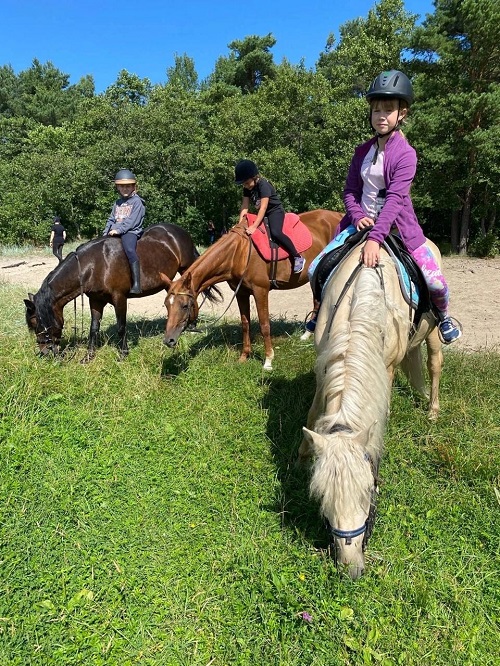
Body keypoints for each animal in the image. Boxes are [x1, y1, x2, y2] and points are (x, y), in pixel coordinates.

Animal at [23, 223, 219, 360]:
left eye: (35, 322)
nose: (45, 352)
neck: (93, 265)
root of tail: (179, 232)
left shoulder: (119, 298)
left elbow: (121, 327)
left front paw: (123, 353)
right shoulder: (96, 301)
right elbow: (94, 328)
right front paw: (88, 356)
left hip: (187, 267)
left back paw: (191, 325)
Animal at [161, 209, 344, 368]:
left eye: (185, 305)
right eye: (167, 305)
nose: (168, 340)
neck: (238, 253)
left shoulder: (260, 290)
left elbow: (264, 325)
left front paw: (268, 360)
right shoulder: (241, 293)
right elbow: (245, 323)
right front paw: (244, 356)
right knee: (317, 302)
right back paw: (307, 334)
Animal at [296, 237, 442, 576]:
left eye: (369, 490)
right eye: (322, 497)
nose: (351, 567)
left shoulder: (385, 368)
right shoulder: (326, 359)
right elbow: (315, 409)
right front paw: (302, 455)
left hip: (434, 332)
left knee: (434, 363)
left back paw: (432, 411)